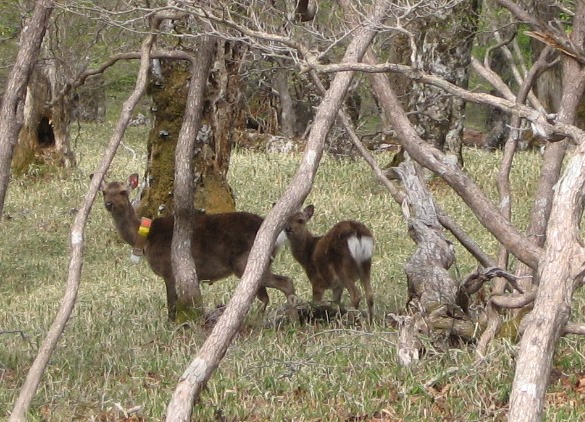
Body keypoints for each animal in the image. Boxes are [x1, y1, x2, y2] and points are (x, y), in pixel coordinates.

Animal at [98, 173, 296, 322]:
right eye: (104, 192)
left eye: (123, 191)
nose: (109, 204)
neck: (145, 239)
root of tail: (278, 235)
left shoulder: (168, 269)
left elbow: (171, 303)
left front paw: (171, 324)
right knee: (266, 294)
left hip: (246, 260)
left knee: (285, 282)